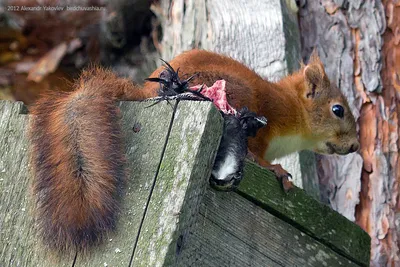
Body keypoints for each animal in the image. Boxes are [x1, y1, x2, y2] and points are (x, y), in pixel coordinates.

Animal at [28, 49, 360, 252]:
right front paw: (275, 170)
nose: (356, 146)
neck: (295, 111)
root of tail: (146, 92)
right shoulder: (267, 120)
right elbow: (256, 154)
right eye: (338, 110)